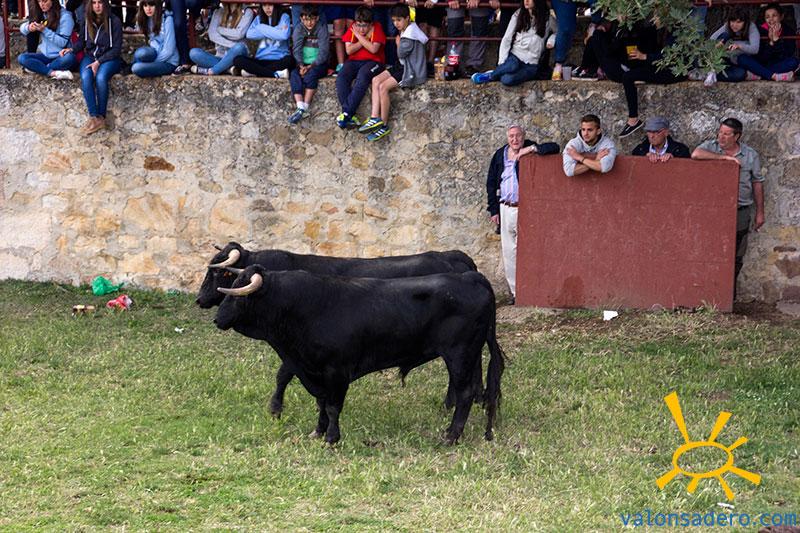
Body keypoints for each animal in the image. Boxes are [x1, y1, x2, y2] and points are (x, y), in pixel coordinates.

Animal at [214, 266, 505, 445]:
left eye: (238, 297)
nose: (217, 319)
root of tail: (470, 277)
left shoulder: (336, 370)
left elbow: (333, 406)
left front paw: (332, 438)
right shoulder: (314, 370)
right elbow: (321, 402)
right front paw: (318, 431)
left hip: (460, 354)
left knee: (465, 393)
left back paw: (451, 436)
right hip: (469, 355)